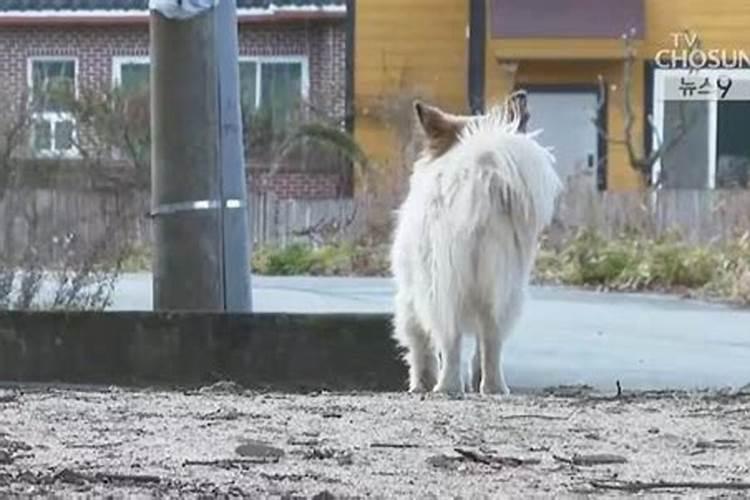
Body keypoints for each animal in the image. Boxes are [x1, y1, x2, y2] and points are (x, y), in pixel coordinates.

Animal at [390, 94, 560, 396]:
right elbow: (480, 346)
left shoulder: (409, 297)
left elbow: (420, 345)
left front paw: (421, 383)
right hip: (504, 288)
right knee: (491, 340)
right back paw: (492, 386)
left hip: (439, 284)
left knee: (450, 340)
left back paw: (446, 387)